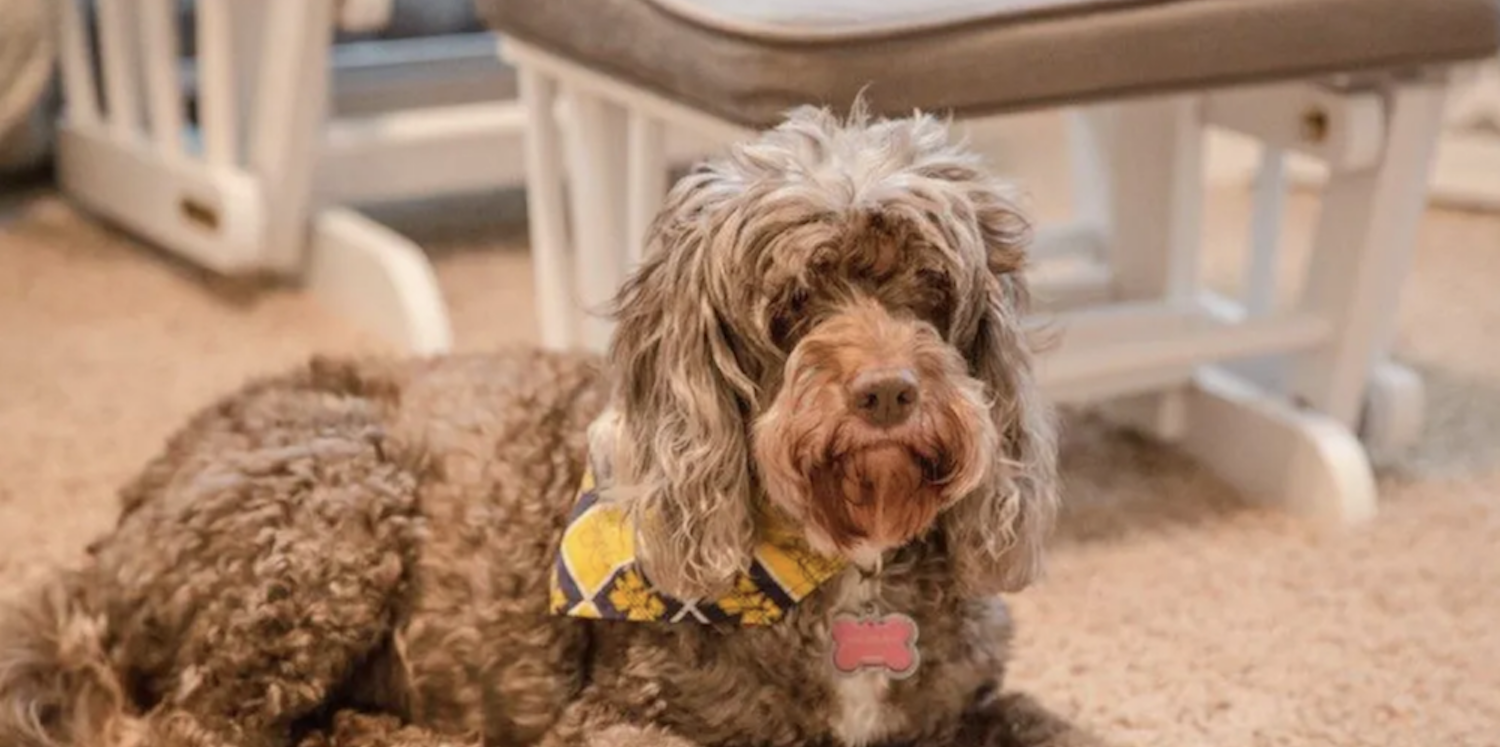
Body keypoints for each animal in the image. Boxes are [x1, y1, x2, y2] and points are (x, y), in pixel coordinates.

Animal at [0, 106, 1104, 747]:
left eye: (929, 290)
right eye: (793, 304)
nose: (888, 391)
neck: (841, 559)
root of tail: (102, 548)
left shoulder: (969, 706)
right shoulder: (625, 720)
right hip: (338, 502)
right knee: (186, 728)